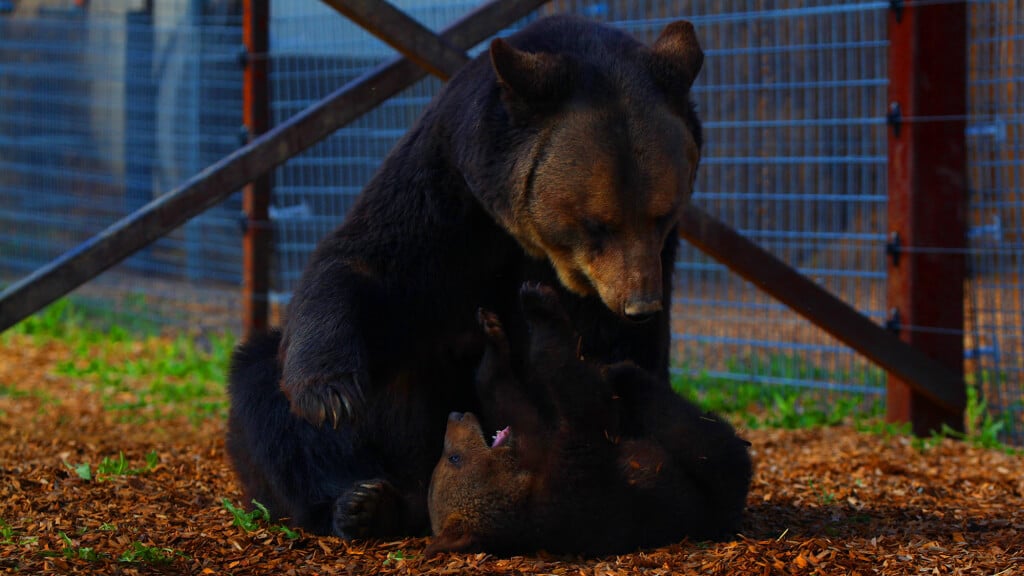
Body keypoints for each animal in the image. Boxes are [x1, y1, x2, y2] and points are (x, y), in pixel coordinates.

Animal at [225, 15, 704, 541]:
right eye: (598, 223)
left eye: (662, 215)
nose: (640, 304)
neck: (525, 237)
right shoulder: (448, 183)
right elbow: (365, 260)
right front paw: (330, 395)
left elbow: (608, 364)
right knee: (264, 396)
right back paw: (359, 502)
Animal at [423, 284, 753, 553]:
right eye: (453, 458)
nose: (455, 414)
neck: (524, 480)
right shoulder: (571, 483)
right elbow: (576, 394)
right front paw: (540, 305)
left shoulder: (537, 445)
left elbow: (509, 400)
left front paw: (492, 331)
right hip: (707, 488)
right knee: (699, 437)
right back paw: (628, 375)